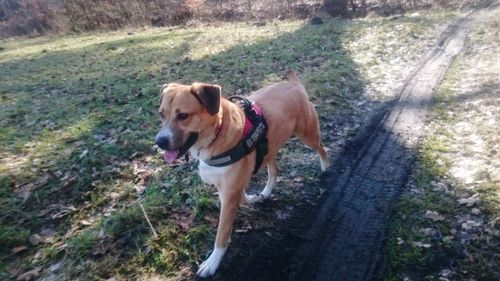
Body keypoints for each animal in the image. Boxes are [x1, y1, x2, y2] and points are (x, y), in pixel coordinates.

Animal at [155, 69, 328, 276]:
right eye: (161, 114)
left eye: (182, 116)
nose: (159, 142)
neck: (217, 132)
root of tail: (294, 85)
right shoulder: (231, 189)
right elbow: (244, 196)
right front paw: (255, 198)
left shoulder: (230, 195)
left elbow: (222, 235)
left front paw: (213, 262)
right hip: (270, 148)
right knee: (274, 170)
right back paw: (265, 193)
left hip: (307, 135)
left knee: (322, 148)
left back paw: (326, 167)